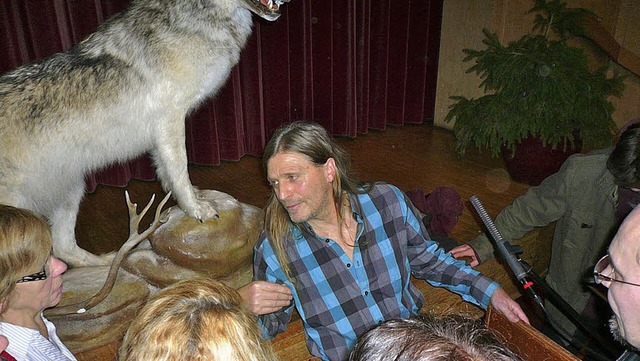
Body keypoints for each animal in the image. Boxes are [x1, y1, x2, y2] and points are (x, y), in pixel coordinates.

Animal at [0, 0, 288, 264]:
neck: (194, 16)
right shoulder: (171, 119)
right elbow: (180, 170)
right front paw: (195, 208)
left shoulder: (162, 133)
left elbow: (168, 173)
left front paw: (188, 199)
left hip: (72, 187)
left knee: (63, 249)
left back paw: (110, 261)